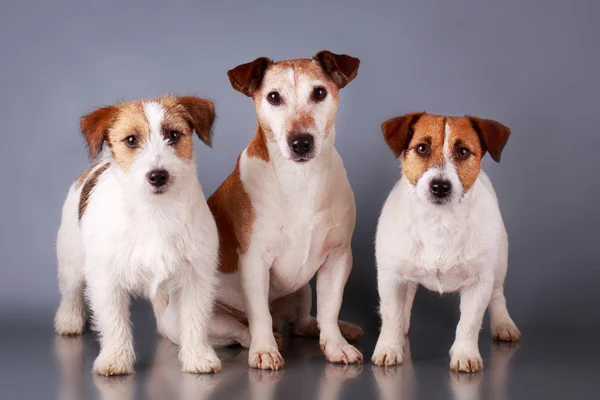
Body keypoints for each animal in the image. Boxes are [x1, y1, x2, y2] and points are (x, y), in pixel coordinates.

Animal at [54, 95, 220, 376]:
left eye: (173, 135)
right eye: (131, 140)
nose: (158, 175)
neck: (156, 211)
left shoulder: (196, 276)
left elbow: (195, 319)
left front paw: (198, 357)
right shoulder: (106, 278)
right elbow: (113, 321)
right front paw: (116, 359)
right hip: (71, 259)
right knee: (71, 291)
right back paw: (68, 320)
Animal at [164, 50, 368, 372]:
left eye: (319, 93)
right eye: (274, 97)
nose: (301, 142)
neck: (301, 179)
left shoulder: (338, 258)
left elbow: (330, 308)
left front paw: (336, 345)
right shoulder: (255, 261)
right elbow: (259, 313)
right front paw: (265, 351)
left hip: (302, 290)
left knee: (304, 322)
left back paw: (337, 329)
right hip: (211, 319)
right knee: (244, 330)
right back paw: (267, 340)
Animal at [372, 111, 516, 372]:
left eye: (463, 151)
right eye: (422, 148)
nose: (440, 186)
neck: (439, 221)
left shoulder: (479, 283)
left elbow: (470, 322)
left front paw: (465, 354)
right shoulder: (391, 277)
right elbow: (391, 315)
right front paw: (389, 347)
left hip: (499, 264)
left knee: (497, 295)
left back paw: (504, 325)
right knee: (406, 297)